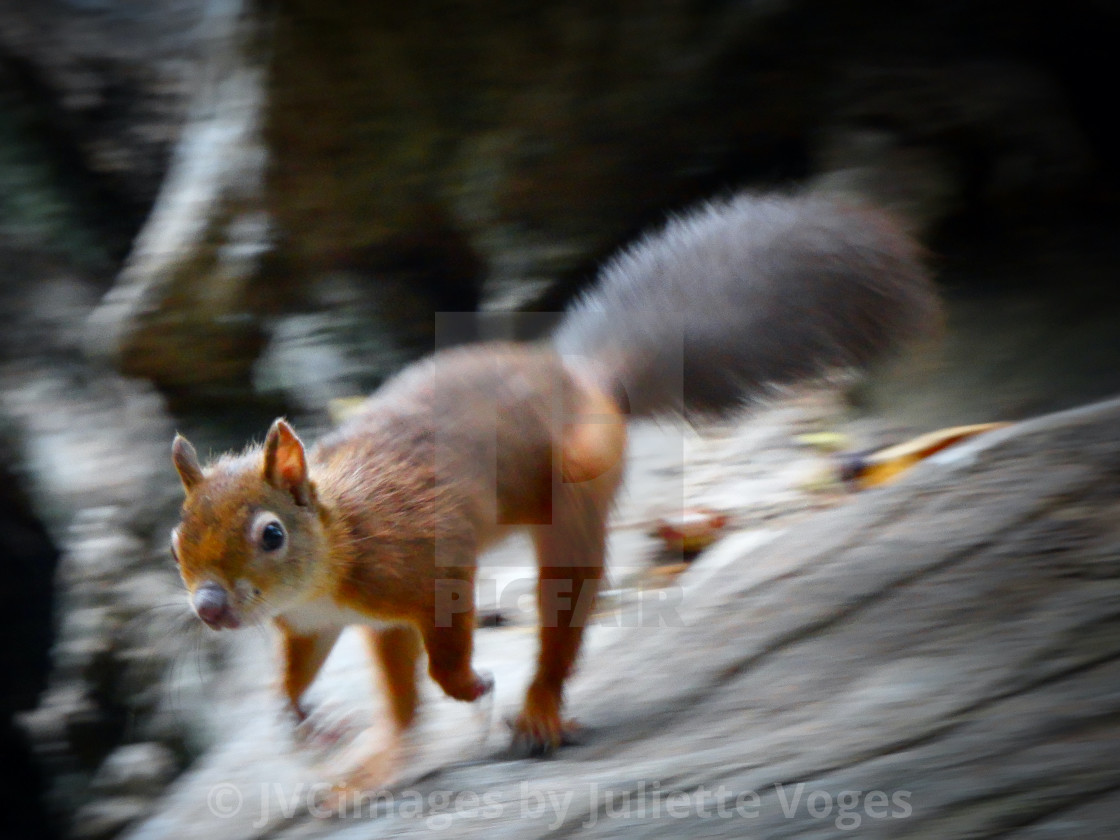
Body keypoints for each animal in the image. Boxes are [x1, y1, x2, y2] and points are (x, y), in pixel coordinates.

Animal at [165, 190, 936, 788]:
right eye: (175, 541)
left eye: (270, 534)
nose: (209, 609)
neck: (338, 540)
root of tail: (590, 385)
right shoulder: (314, 623)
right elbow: (299, 670)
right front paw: (300, 717)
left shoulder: (421, 557)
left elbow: (447, 639)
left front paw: (469, 683)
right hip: (387, 632)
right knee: (402, 703)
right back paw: (377, 763)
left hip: (574, 499)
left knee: (561, 609)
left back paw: (537, 708)